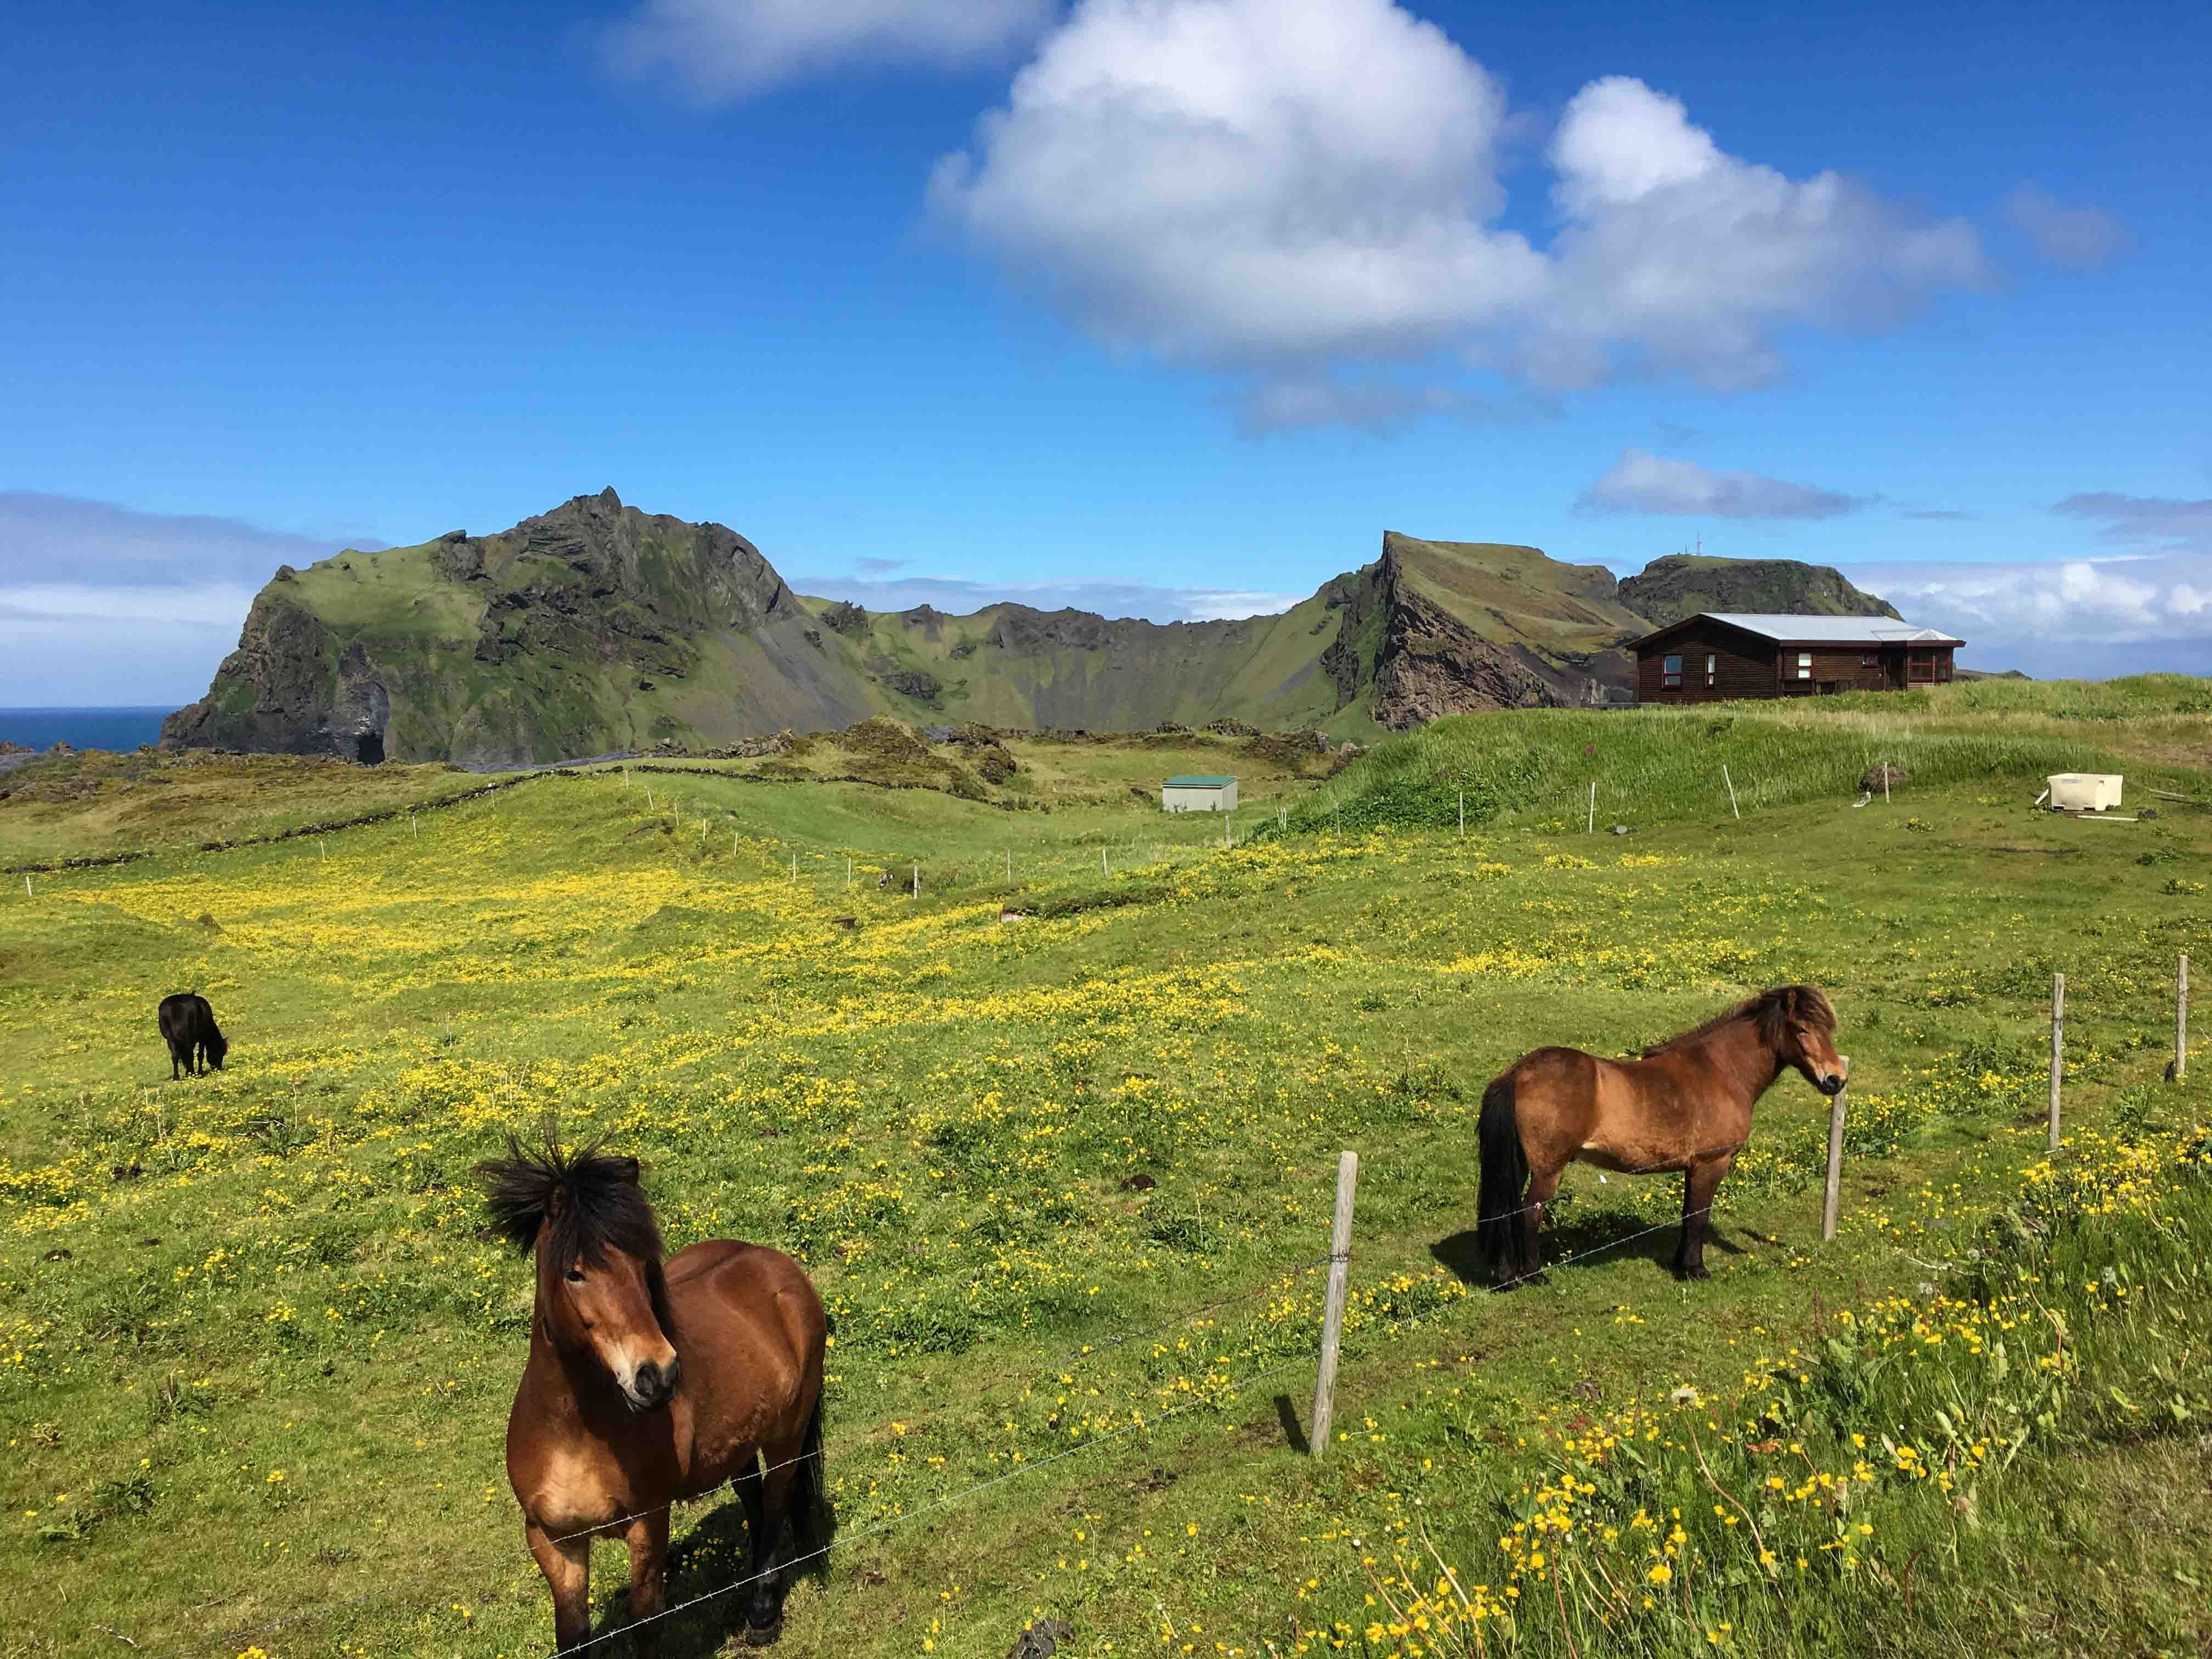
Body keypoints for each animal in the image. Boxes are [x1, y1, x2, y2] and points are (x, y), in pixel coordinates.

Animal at [156, 995, 227, 1084]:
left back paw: (177, 1077)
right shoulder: (202, 1039)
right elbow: (200, 1055)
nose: (219, 1068)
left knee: (175, 1056)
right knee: (190, 1054)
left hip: (171, 1039)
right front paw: (199, 1072)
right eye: (221, 1052)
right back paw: (192, 1073)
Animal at [479, 1132, 832, 1654]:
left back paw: (762, 1612)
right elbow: (572, 1632)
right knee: (752, 1494)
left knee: (773, 1502)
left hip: (787, 1435)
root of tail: (779, 1267)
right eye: (575, 1273)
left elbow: (646, 1619)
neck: (575, 1431)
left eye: (642, 1265)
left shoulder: (648, 1522)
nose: (659, 1374)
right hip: (739, 1439)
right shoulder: (553, 1540)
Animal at [1486, 982, 1849, 1291]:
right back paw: (1534, 1277)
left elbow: (1689, 1213)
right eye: (1801, 1029)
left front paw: (1681, 1265)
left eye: (1828, 1030)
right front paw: (1696, 1270)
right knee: (1528, 1213)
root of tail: (1518, 1072)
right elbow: (1699, 1216)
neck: (1721, 1072)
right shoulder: (1712, 1163)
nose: (1836, 1079)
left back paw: (1507, 1278)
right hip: (1548, 1169)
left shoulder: (1693, 1168)